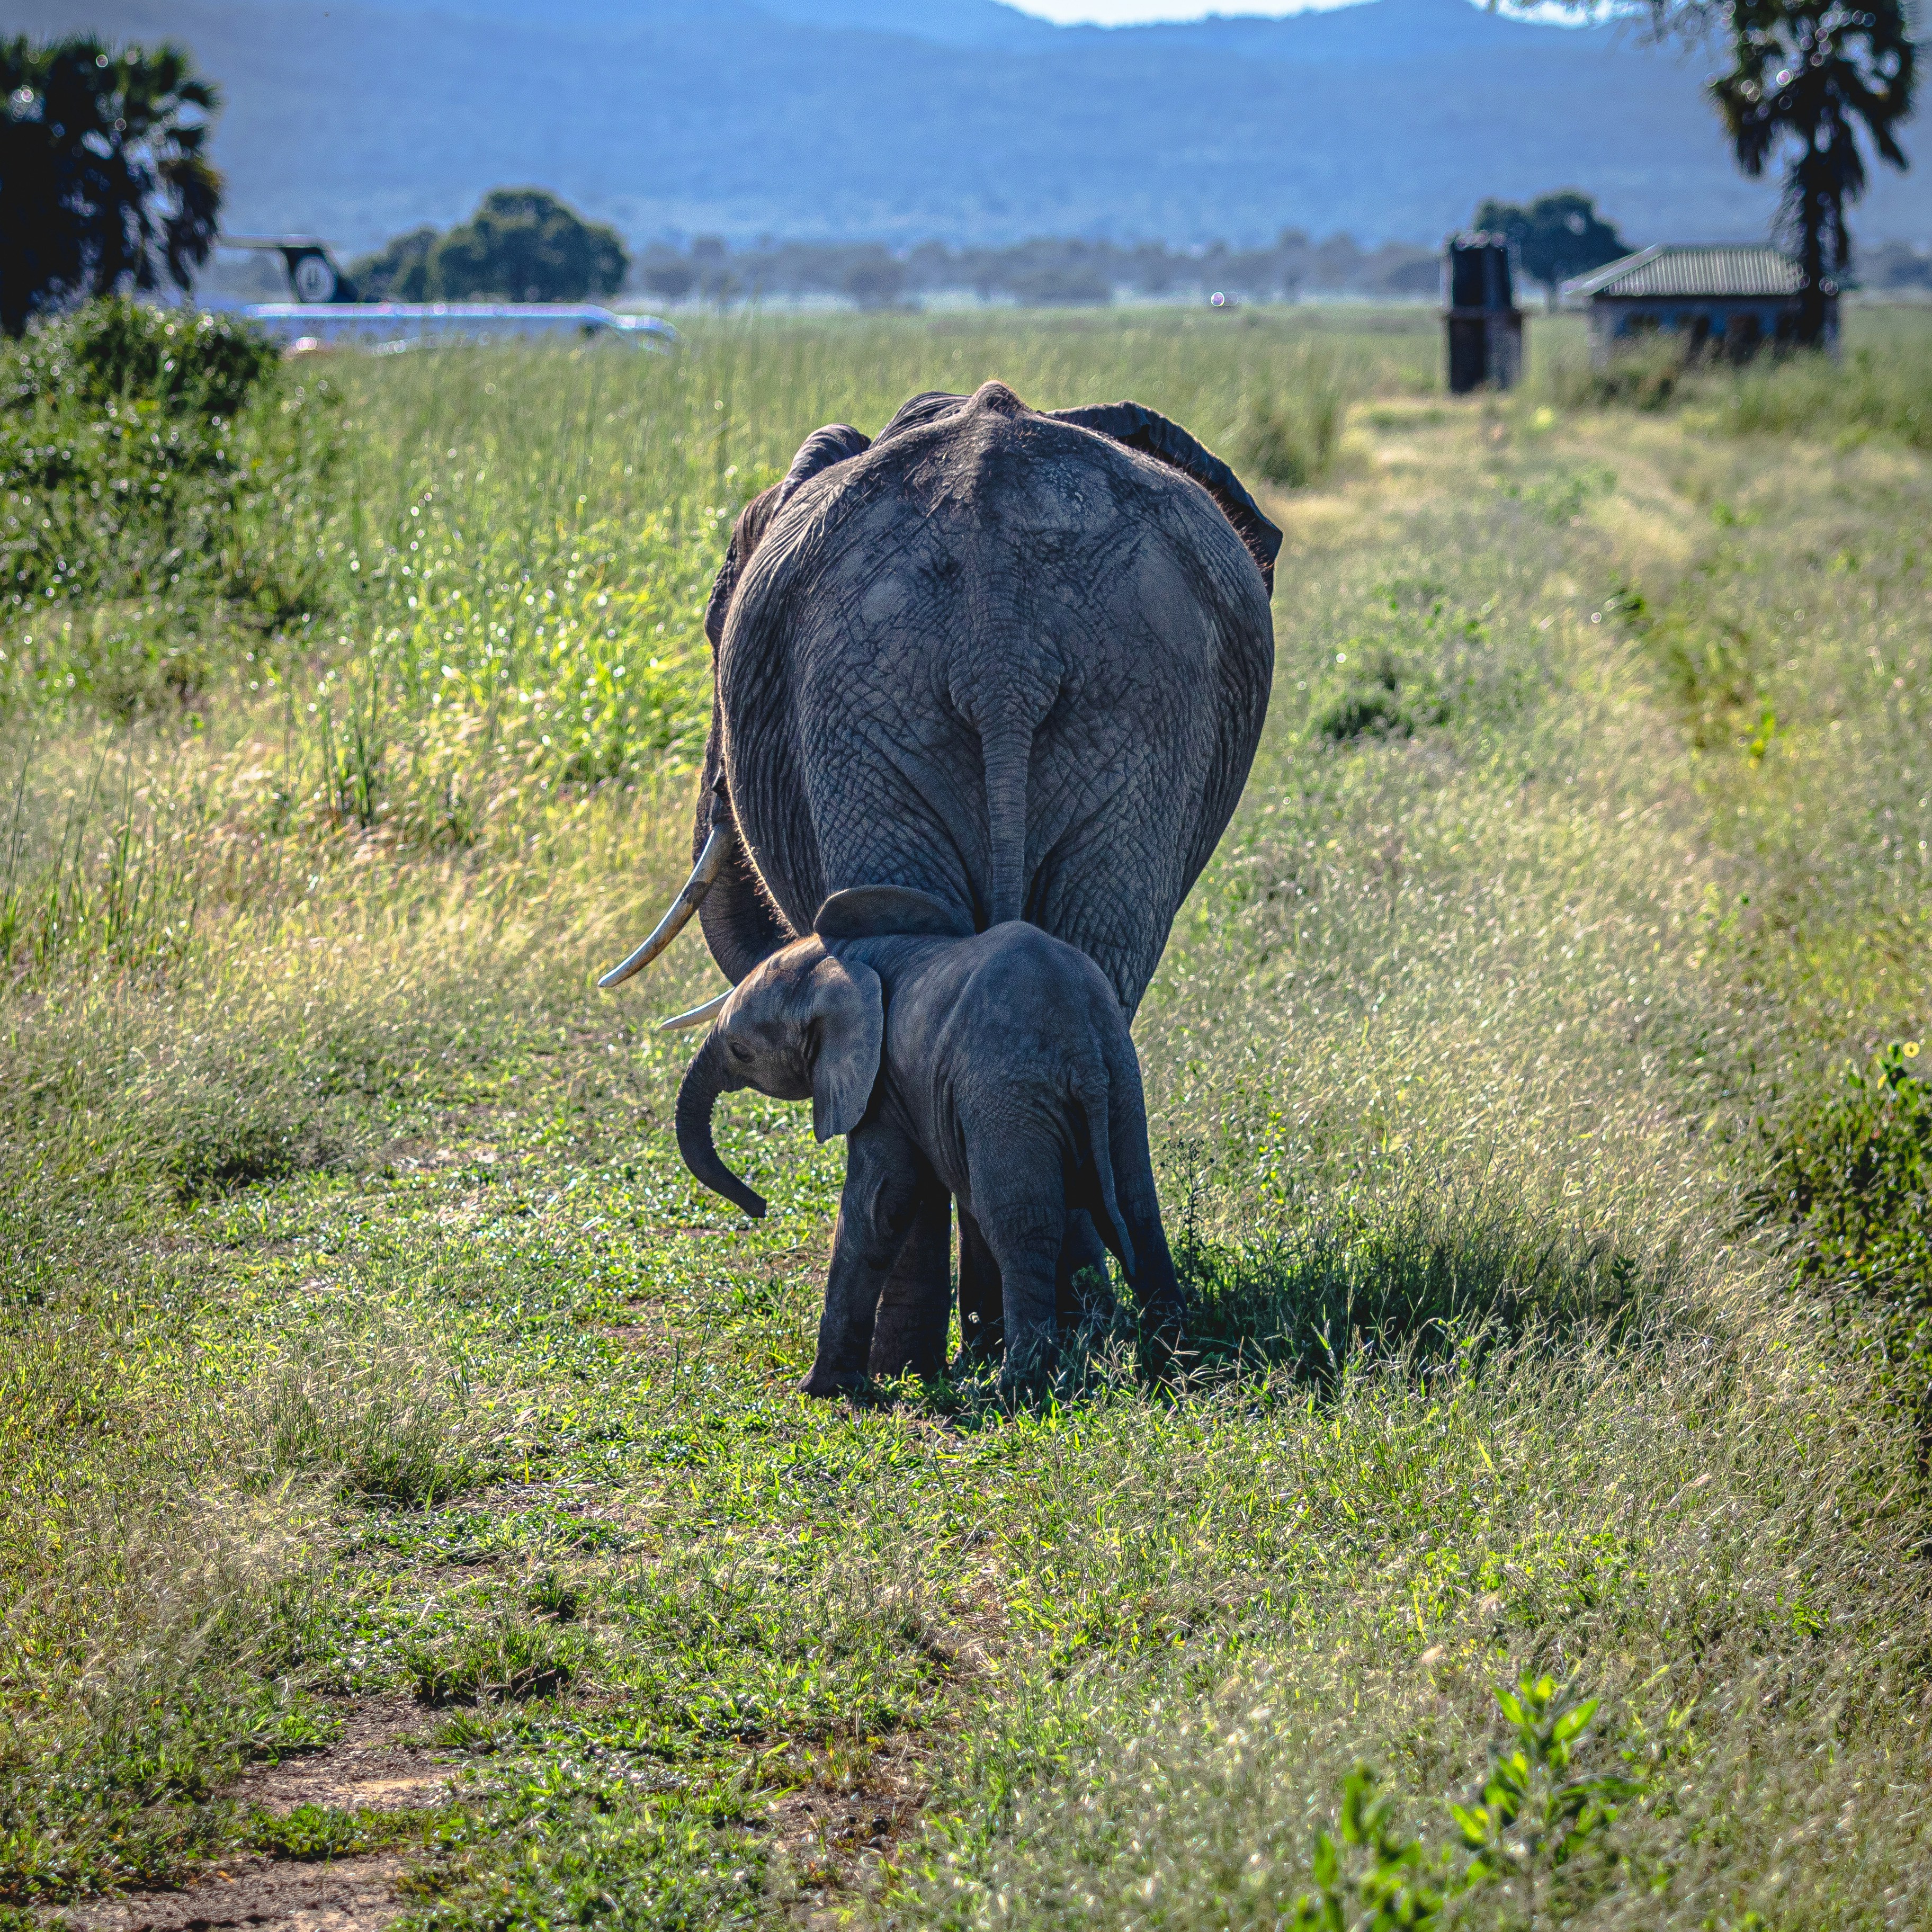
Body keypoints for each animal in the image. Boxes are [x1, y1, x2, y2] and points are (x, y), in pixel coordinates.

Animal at [674, 884, 1182, 1393]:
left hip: (1007, 1094)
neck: (844, 959)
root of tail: (1082, 1050)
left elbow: (879, 1204)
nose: (760, 1208)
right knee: (1137, 1210)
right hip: (1119, 1079)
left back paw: (1014, 1388)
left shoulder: (881, 1082)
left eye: (741, 1051)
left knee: (1021, 1227)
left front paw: (824, 1390)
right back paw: (1171, 1358)